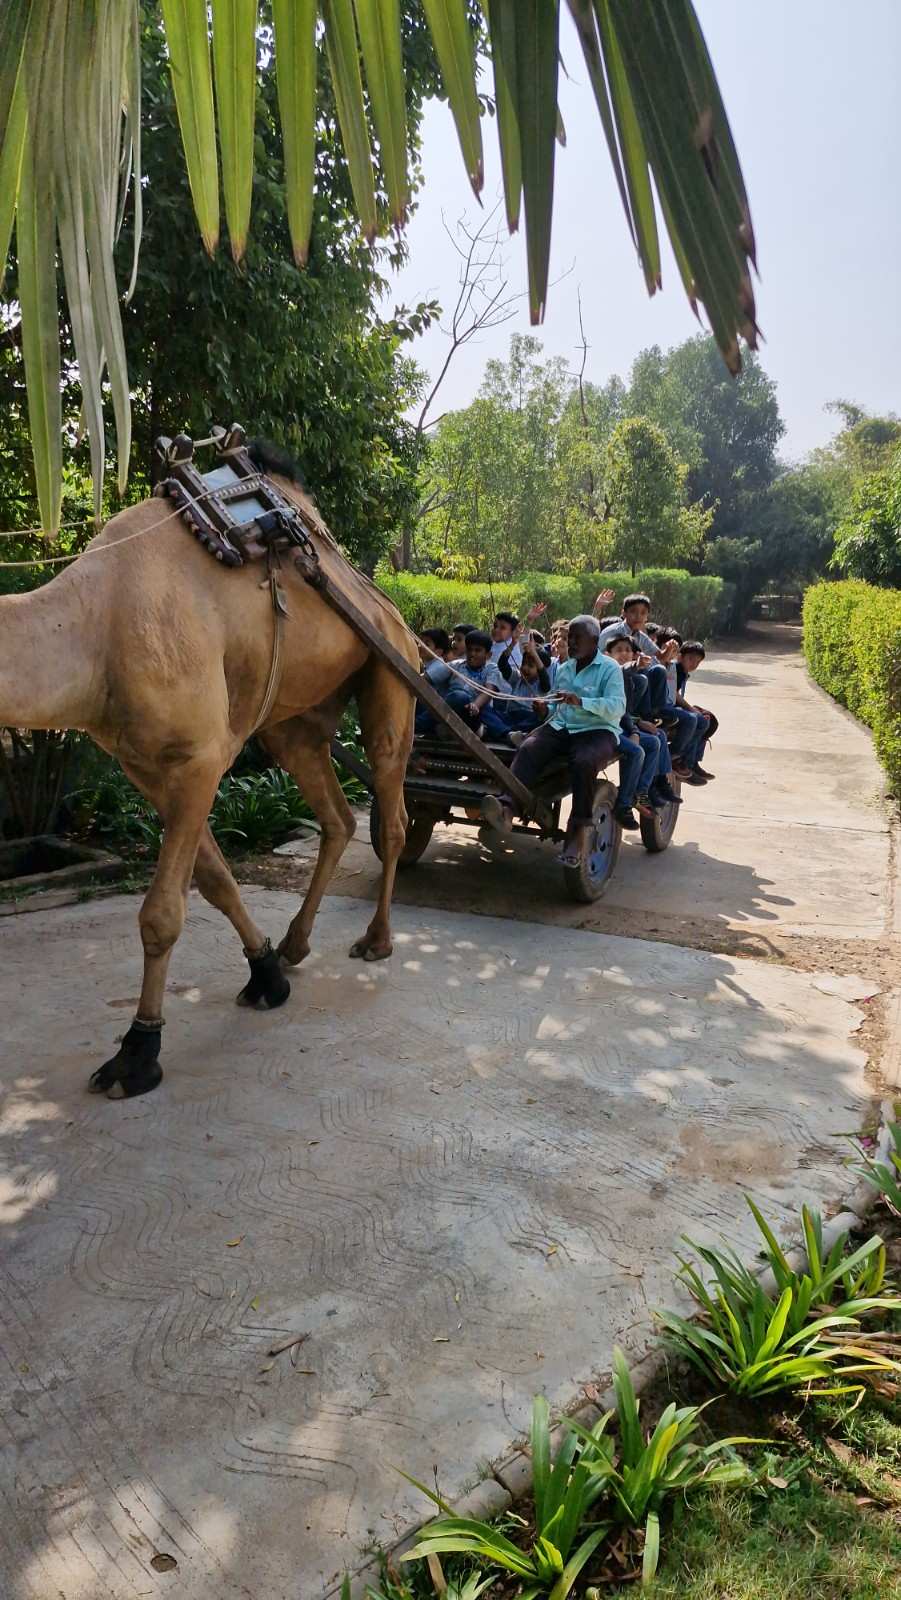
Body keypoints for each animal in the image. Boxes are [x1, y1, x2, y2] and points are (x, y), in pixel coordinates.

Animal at [0, 449, 417, 1097]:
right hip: (292, 722)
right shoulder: (143, 765)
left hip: (392, 672)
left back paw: (376, 940)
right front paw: (267, 975)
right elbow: (217, 880)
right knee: (338, 817)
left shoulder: (200, 757)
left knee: (391, 813)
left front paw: (137, 1051)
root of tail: (396, 612)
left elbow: (162, 913)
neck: (93, 627)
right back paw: (295, 943)